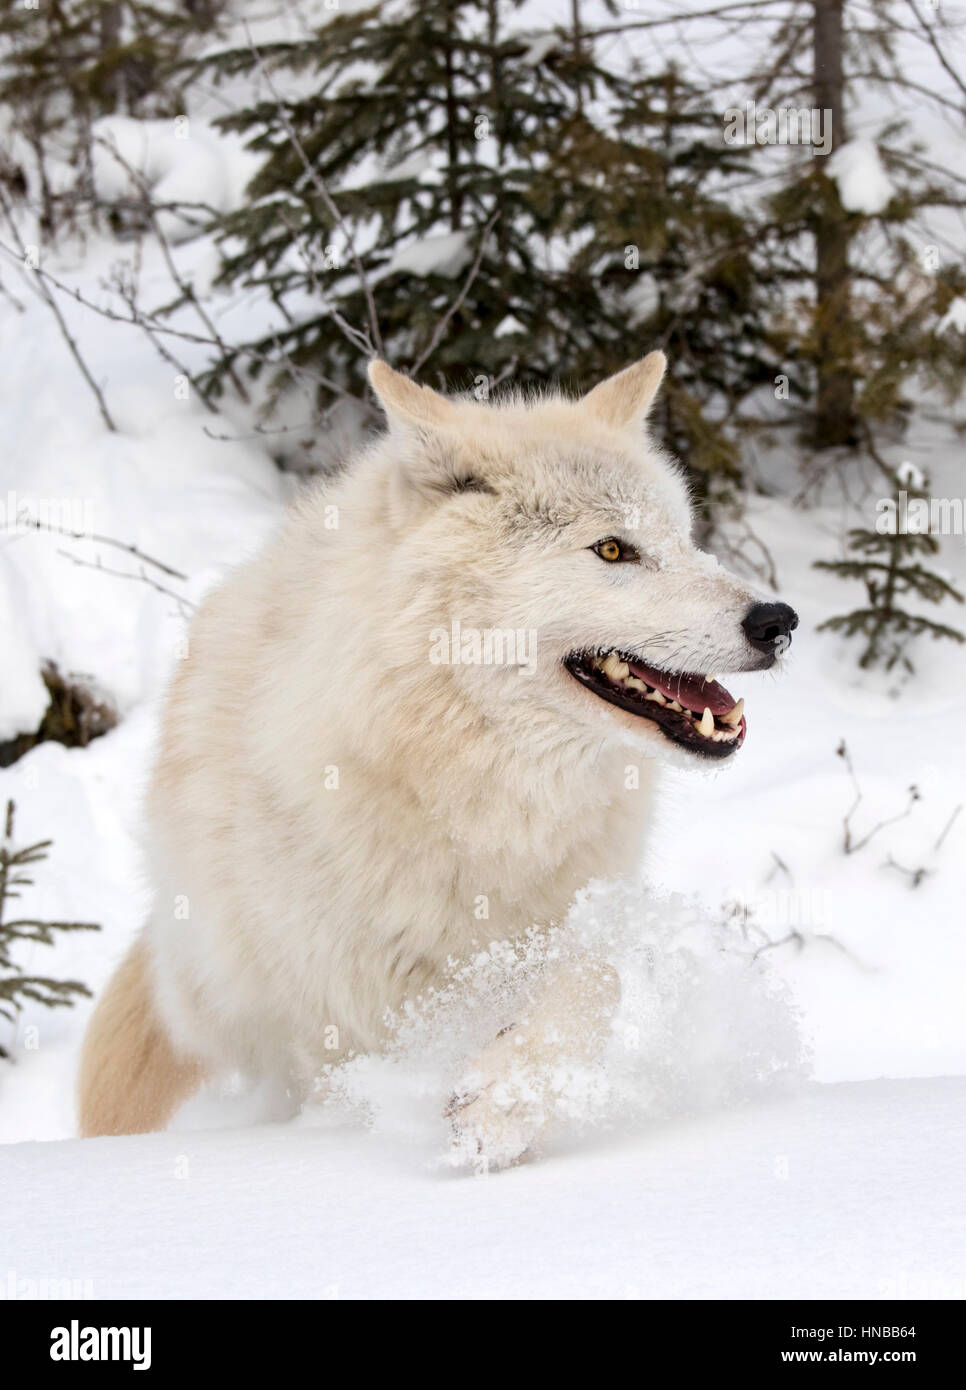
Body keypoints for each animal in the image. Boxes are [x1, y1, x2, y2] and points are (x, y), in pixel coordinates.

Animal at [77, 353, 797, 1166]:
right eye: (614, 549)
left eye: (683, 538)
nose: (779, 620)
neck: (470, 786)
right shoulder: (350, 1010)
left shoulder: (552, 931)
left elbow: (598, 978)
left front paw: (504, 1104)